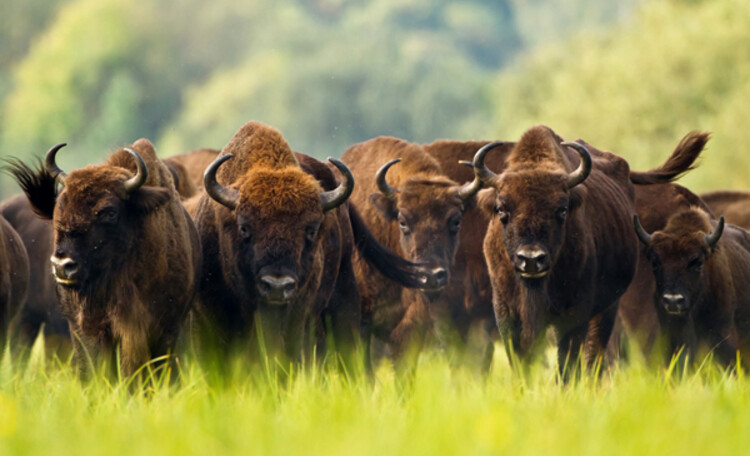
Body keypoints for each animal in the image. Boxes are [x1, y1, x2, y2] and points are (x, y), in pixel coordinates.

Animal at [470, 124, 640, 374]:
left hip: (608, 307)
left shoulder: (574, 315)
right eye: (501, 209)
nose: (531, 259)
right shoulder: (507, 313)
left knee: (594, 354)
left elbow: (567, 363)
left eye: (562, 209)